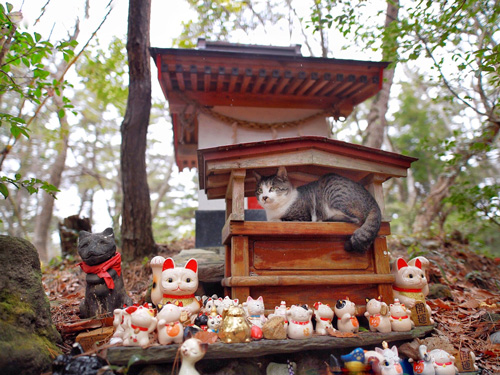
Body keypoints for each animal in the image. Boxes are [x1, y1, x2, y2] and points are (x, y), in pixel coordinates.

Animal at [254, 167, 382, 253]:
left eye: (272, 188)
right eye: (260, 190)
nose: (264, 197)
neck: (274, 209)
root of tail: (373, 201)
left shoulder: (302, 217)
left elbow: (281, 219)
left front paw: (274, 220)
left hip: (335, 195)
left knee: (357, 219)